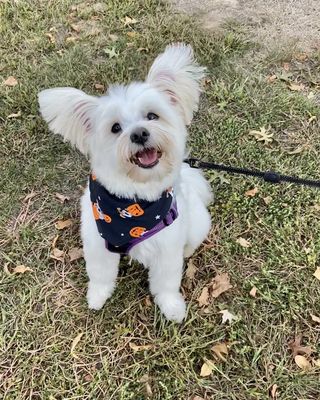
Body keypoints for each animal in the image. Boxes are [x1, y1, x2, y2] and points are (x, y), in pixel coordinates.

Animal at [38, 43, 212, 322]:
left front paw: (172, 307)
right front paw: (97, 297)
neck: (134, 197)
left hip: (197, 224)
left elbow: (166, 282)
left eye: (152, 116)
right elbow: (100, 274)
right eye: (115, 128)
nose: (139, 133)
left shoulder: (167, 248)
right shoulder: (97, 244)